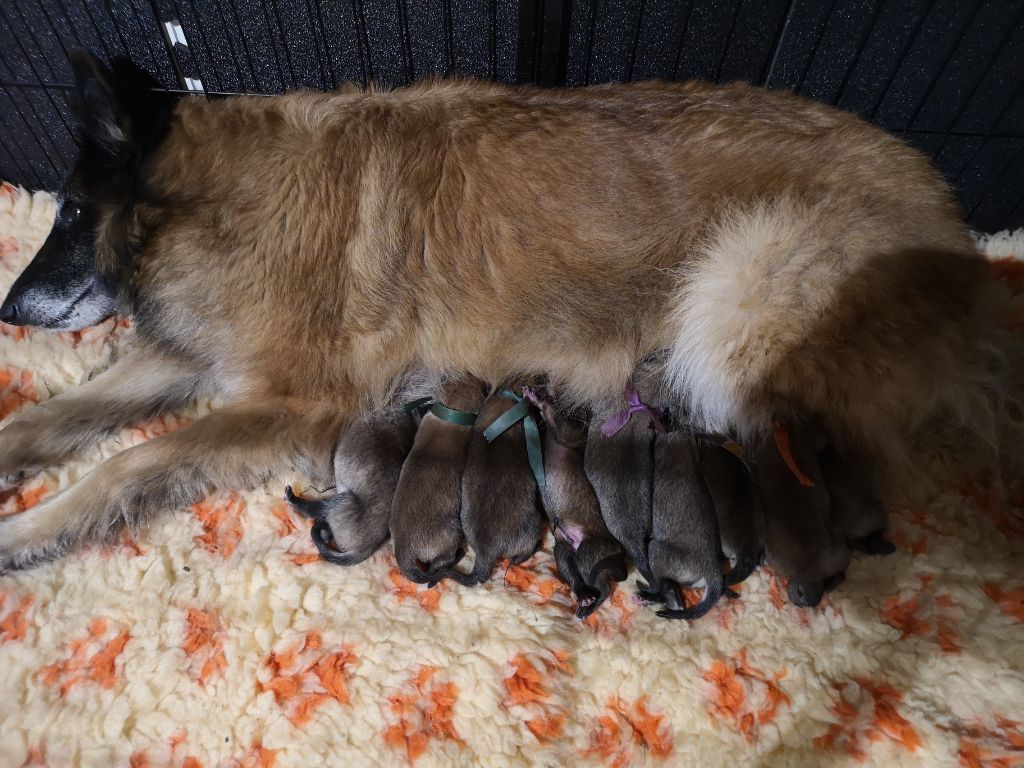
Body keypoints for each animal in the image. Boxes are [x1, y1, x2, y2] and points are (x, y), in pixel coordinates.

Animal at [532, 397, 626, 618]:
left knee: (604, 587)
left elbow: (558, 422)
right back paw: (584, 598)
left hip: (589, 552)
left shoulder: (571, 434)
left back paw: (588, 606)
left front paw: (537, 400)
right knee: (574, 576)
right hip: (564, 551)